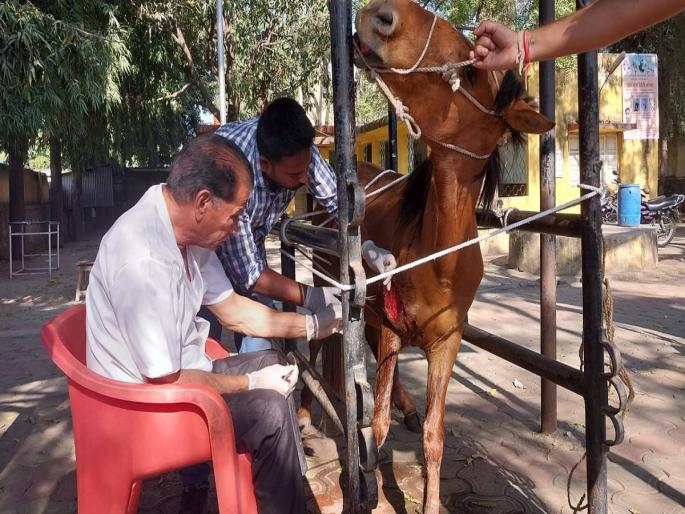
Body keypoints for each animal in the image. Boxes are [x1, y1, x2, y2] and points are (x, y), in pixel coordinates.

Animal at [300, 1, 554, 512]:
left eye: (473, 74)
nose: (381, 15)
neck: (440, 263)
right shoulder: (393, 331)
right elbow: (374, 425)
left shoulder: (446, 344)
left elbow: (435, 436)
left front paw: (431, 500)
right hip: (330, 292)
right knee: (318, 346)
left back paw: (407, 406)